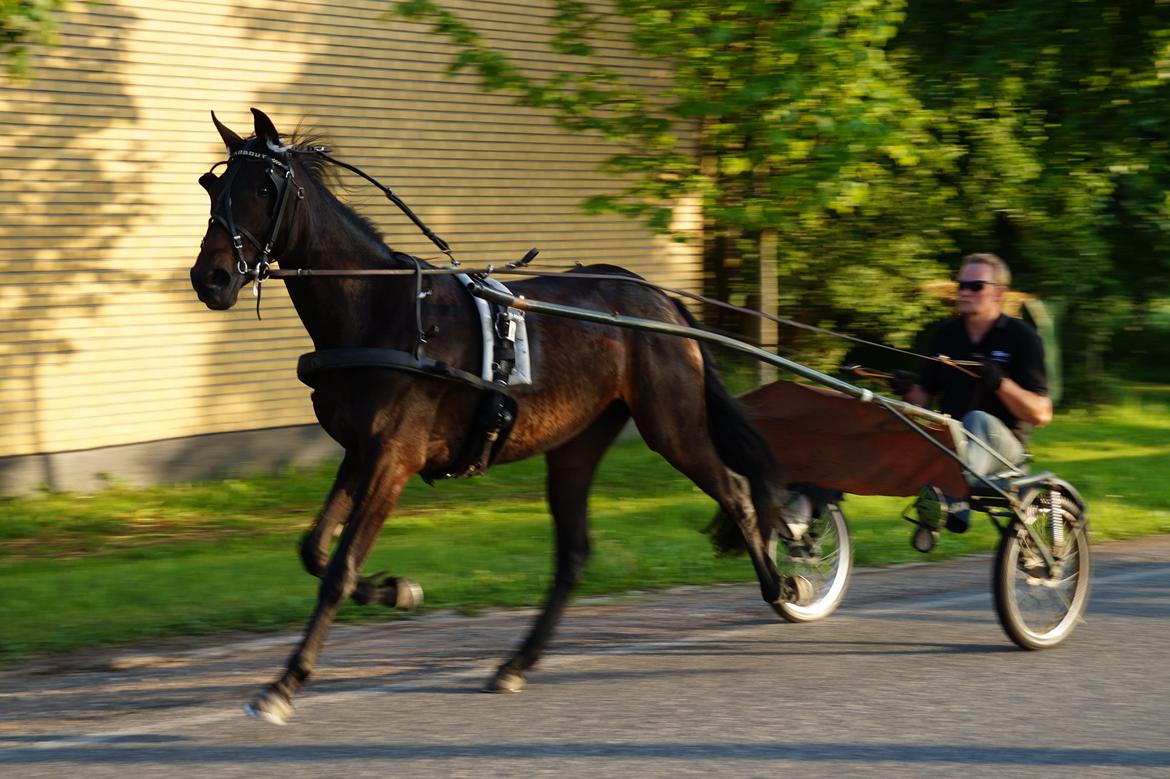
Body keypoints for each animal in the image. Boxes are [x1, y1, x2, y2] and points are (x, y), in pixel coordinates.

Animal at [187, 107, 800, 720]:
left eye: (264, 188)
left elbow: (339, 567)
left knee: (737, 493)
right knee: (574, 553)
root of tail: (655, 298)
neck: (385, 312)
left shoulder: (393, 458)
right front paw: (398, 591)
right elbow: (315, 550)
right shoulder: (361, 452)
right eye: (213, 186)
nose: (210, 278)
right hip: (577, 443)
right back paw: (517, 663)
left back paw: (782, 588)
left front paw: (286, 681)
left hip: (671, 425)